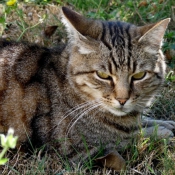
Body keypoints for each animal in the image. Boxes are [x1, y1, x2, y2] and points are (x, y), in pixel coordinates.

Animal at [0, 7, 175, 171]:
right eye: (103, 75)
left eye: (139, 75)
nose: (122, 99)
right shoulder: (77, 152)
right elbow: (127, 138)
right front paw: (161, 132)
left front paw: (162, 123)